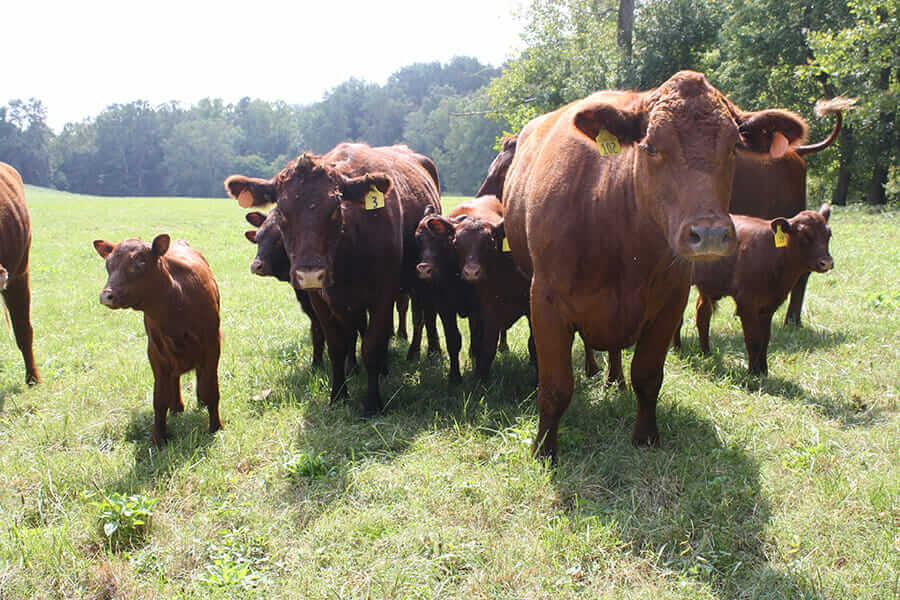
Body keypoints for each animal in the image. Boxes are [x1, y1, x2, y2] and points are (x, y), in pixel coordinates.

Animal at [93, 234, 223, 446]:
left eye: (138, 263)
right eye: (108, 265)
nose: (106, 296)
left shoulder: (212, 346)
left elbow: (210, 389)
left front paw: (215, 427)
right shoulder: (155, 353)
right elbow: (159, 398)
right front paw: (158, 437)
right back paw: (176, 407)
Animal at [227, 144, 442, 418]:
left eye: (334, 209)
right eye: (283, 212)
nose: (309, 273)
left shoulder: (384, 294)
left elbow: (372, 345)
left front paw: (372, 402)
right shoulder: (320, 299)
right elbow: (337, 344)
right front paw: (338, 394)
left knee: (424, 314)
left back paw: (428, 352)